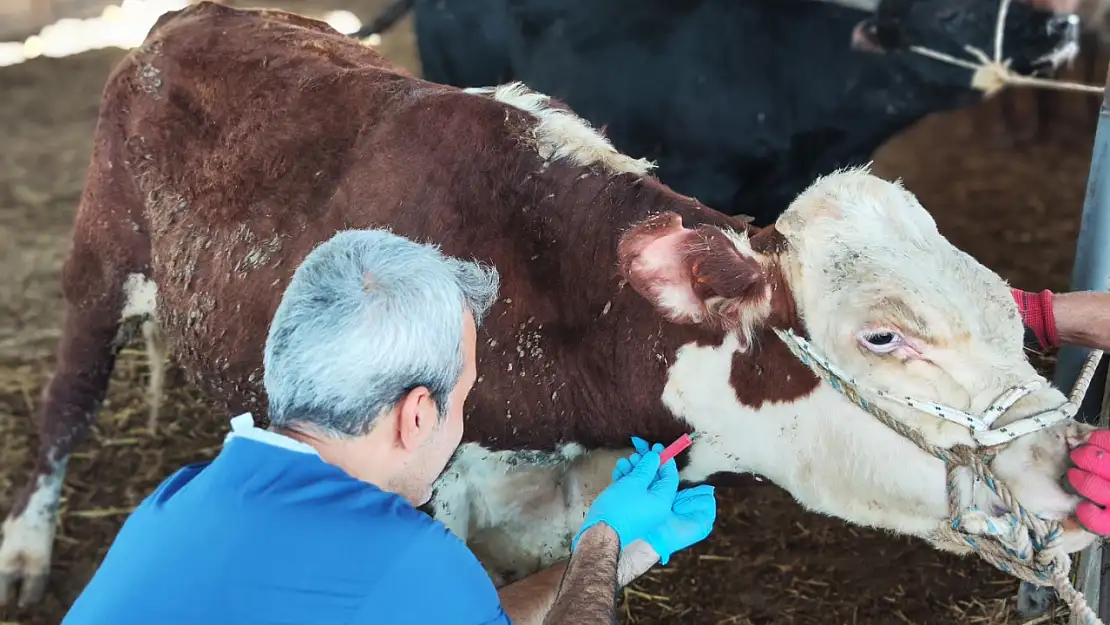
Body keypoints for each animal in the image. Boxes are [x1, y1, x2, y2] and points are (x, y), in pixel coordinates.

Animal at [0, 0, 1096, 608]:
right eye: (883, 334)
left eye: (1009, 312)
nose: (1074, 467)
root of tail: (196, 17)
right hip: (99, 261)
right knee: (65, 401)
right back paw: (27, 550)